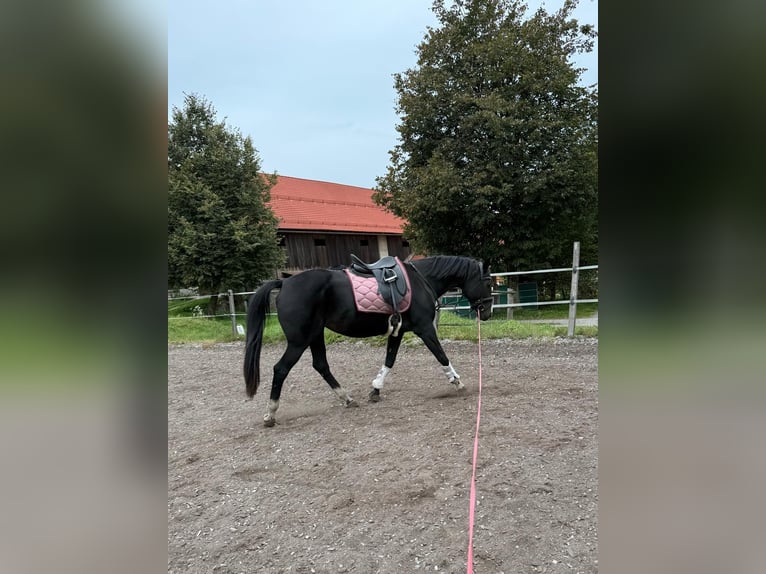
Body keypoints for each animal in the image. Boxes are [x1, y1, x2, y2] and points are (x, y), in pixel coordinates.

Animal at [243, 255, 493, 426]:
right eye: (489, 283)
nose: (488, 312)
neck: (421, 280)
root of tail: (284, 283)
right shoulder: (424, 329)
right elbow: (441, 355)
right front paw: (458, 382)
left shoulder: (397, 331)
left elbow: (389, 361)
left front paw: (376, 390)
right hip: (299, 341)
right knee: (281, 369)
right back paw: (270, 414)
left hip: (315, 335)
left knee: (321, 365)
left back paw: (347, 398)